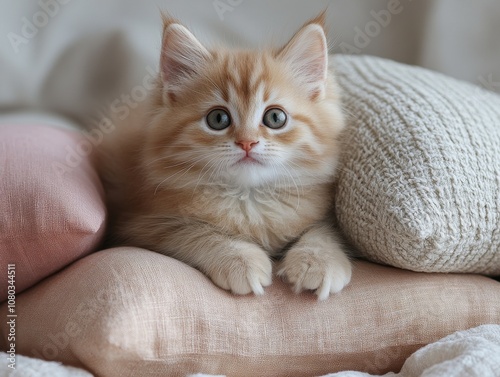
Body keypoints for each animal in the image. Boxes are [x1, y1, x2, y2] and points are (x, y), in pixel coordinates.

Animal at [95, 13, 350, 300]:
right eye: (218, 119)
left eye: (275, 117)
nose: (247, 142)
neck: (248, 199)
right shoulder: (140, 225)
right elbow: (197, 232)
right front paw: (240, 260)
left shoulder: (322, 214)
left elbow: (323, 232)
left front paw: (317, 261)